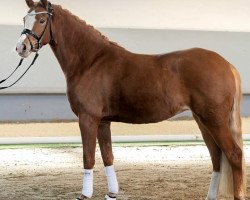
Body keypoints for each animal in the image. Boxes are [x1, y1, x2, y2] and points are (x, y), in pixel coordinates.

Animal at [16, 0, 246, 199]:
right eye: (25, 19)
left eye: (42, 20)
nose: (21, 48)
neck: (91, 61)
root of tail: (226, 64)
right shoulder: (103, 122)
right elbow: (108, 157)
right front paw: (111, 193)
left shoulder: (87, 119)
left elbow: (88, 157)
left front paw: (84, 195)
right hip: (203, 120)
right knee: (217, 157)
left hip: (213, 120)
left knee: (234, 154)